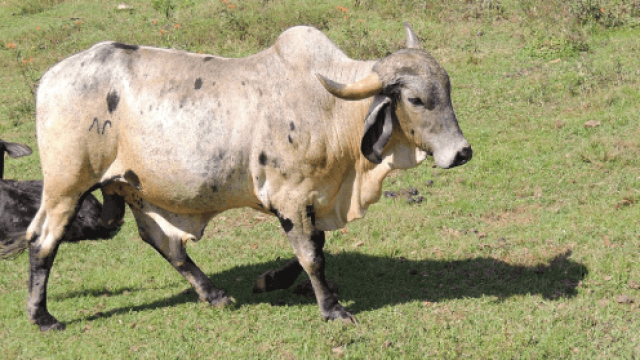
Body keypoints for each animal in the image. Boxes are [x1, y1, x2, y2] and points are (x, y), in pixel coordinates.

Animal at [2, 23, 472, 330]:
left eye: (448, 88)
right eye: (416, 99)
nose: (462, 152)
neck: (332, 109)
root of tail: (50, 78)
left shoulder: (310, 198)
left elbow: (316, 245)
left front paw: (271, 280)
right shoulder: (289, 195)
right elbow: (312, 255)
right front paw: (332, 309)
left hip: (130, 188)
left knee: (164, 243)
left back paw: (213, 294)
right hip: (66, 185)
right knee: (42, 241)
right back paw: (42, 316)